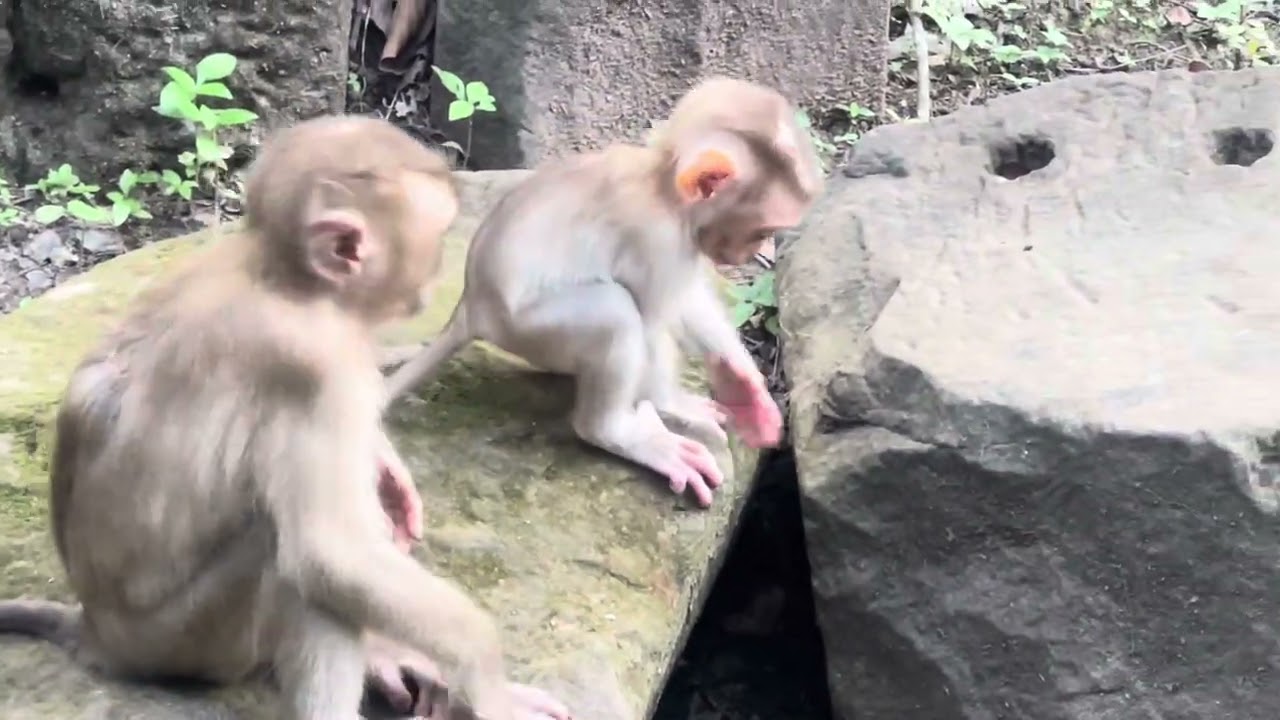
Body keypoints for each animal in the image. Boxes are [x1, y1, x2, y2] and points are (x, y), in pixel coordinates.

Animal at [0, 115, 571, 720]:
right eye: (438, 238)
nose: (440, 271)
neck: (283, 278)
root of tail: (97, 633)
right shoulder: (319, 369)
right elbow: (331, 556)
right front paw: (490, 686)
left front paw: (386, 466)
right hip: (187, 639)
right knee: (291, 562)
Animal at [381, 76, 825, 509]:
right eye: (764, 230)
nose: (755, 251)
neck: (662, 186)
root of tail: (472, 304)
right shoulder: (658, 240)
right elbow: (652, 320)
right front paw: (672, 404)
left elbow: (687, 302)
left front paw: (744, 384)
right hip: (525, 330)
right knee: (615, 311)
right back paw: (614, 431)